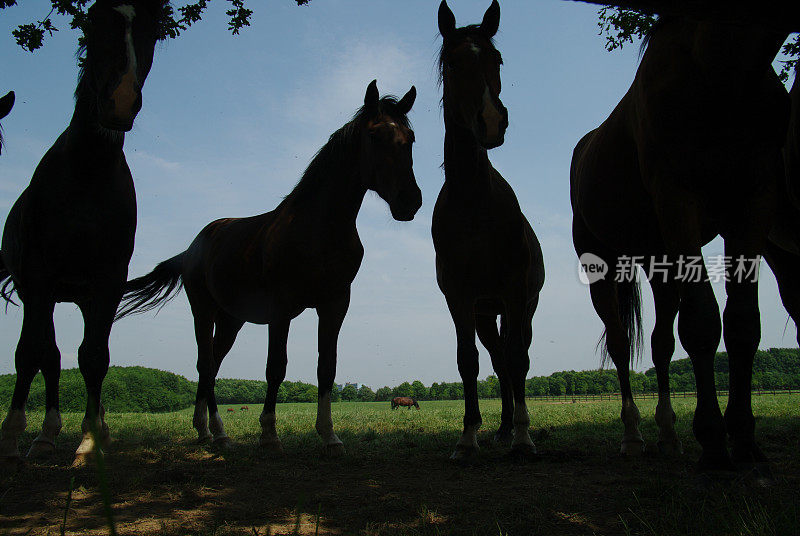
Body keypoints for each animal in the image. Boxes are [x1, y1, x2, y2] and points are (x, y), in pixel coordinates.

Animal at [0, 0, 167, 464]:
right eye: (93, 22)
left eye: (152, 31)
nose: (120, 101)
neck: (88, 171)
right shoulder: (38, 278)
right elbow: (30, 354)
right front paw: (13, 437)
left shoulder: (107, 282)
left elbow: (94, 357)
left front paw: (91, 440)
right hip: (40, 292)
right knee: (47, 355)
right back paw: (39, 436)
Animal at [117, 80, 424, 456]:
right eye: (375, 135)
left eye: (410, 138)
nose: (410, 201)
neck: (319, 227)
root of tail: (190, 250)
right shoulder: (282, 307)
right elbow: (276, 367)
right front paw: (269, 434)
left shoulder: (335, 303)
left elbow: (327, 367)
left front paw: (330, 436)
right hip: (203, 311)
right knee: (206, 365)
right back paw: (218, 431)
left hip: (230, 320)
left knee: (212, 367)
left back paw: (205, 430)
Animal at [572, 14, 792, 472]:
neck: (724, 70)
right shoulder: (678, 199)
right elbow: (703, 322)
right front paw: (713, 441)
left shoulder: (754, 203)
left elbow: (743, 322)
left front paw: (744, 439)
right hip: (601, 264)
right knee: (620, 342)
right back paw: (633, 435)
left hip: (660, 260)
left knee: (660, 344)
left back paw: (669, 435)